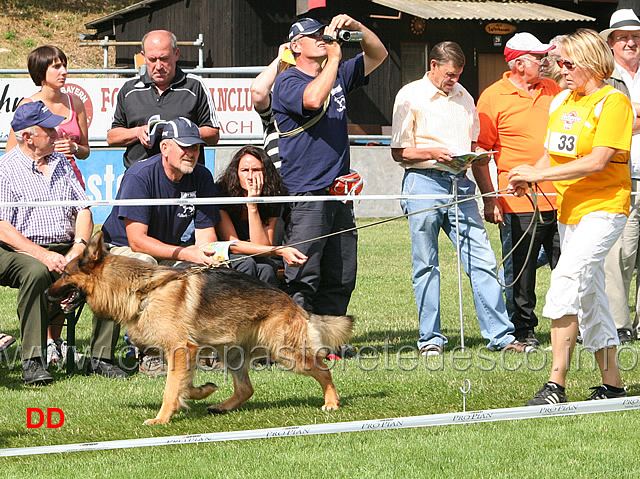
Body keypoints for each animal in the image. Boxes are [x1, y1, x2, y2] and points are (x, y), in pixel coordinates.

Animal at [46, 232, 356, 424]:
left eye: (64, 274)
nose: (47, 294)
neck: (141, 291)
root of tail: (290, 301)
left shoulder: (180, 349)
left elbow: (171, 389)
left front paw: (162, 418)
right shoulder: (187, 353)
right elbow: (183, 385)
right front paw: (203, 391)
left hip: (285, 353)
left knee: (323, 369)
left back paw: (332, 402)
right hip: (231, 353)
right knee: (246, 389)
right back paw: (223, 406)